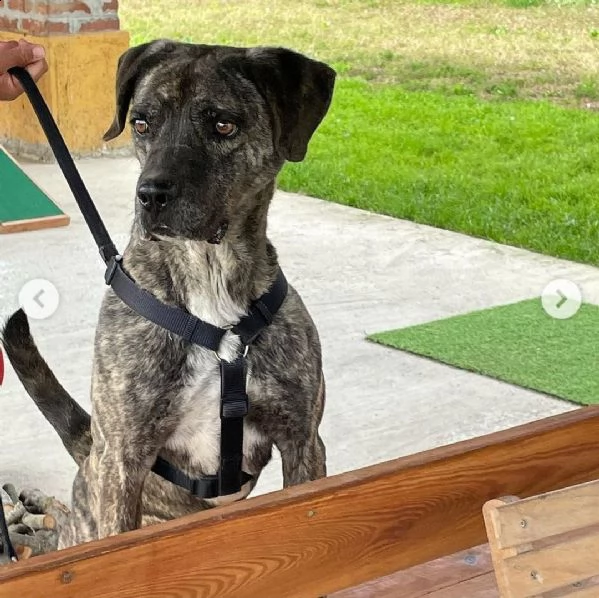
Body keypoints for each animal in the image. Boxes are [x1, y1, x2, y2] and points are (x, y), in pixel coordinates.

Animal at [2, 39, 336, 552]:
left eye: (223, 124)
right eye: (142, 124)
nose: (151, 195)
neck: (209, 277)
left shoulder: (302, 441)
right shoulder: (124, 460)